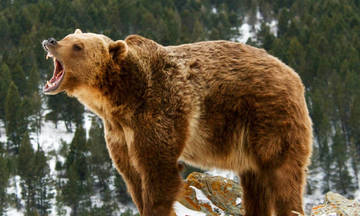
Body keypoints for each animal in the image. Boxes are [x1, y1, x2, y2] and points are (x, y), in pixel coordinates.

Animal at [42, 29, 312, 216]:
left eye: (78, 46)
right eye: (68, 36)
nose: (51, 41)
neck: (121, 100)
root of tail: (294, 75)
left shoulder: (158, 112)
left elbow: (159, 172)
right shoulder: (119, 133)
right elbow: (132, 177)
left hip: (269, 118)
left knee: (282, 174)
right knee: (255, 183)